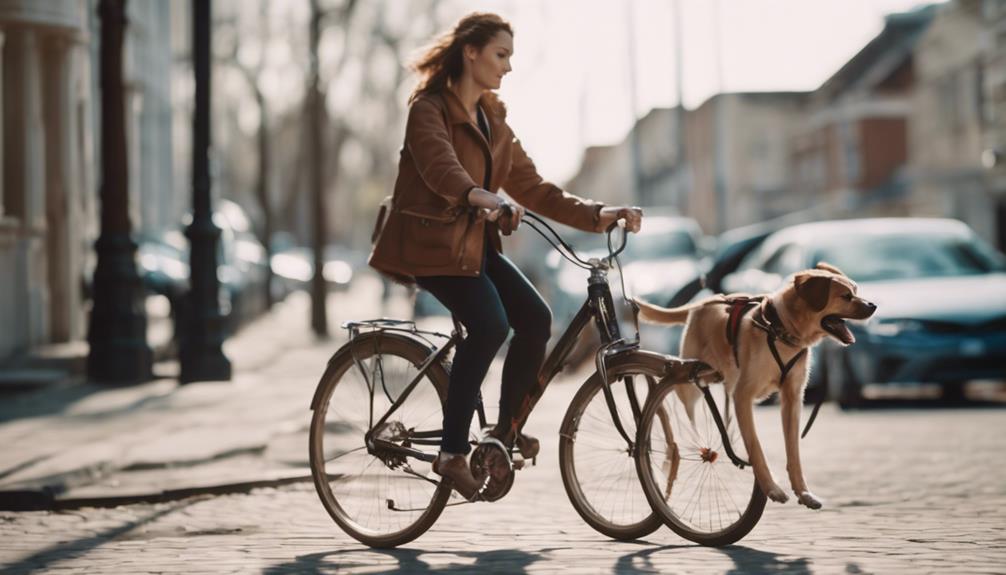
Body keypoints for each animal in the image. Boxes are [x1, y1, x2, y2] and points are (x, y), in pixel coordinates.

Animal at [635, 263, 873, 510]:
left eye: (856, 290)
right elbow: (755, 446)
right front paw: (771, 488)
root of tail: (703, 303)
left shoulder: (792, 399)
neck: (781, 331)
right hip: (691, 382)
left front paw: (803, 492)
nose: (873, 306)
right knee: (680, 405)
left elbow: (793, 452)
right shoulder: (743, 395)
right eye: (846, 296)